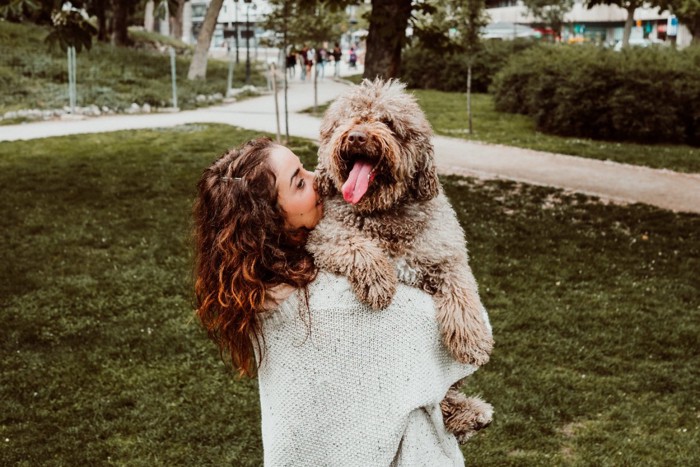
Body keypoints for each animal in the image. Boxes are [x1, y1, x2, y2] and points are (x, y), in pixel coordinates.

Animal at [308, 78, 494, 444]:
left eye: (389, 123)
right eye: (348, 120)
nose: (357, 136)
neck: (383, 213)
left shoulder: (447, 253)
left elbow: (462, 291)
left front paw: (471, 339)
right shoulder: (324, 234)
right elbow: (356, 245)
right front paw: (379, 281)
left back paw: (470, 414)